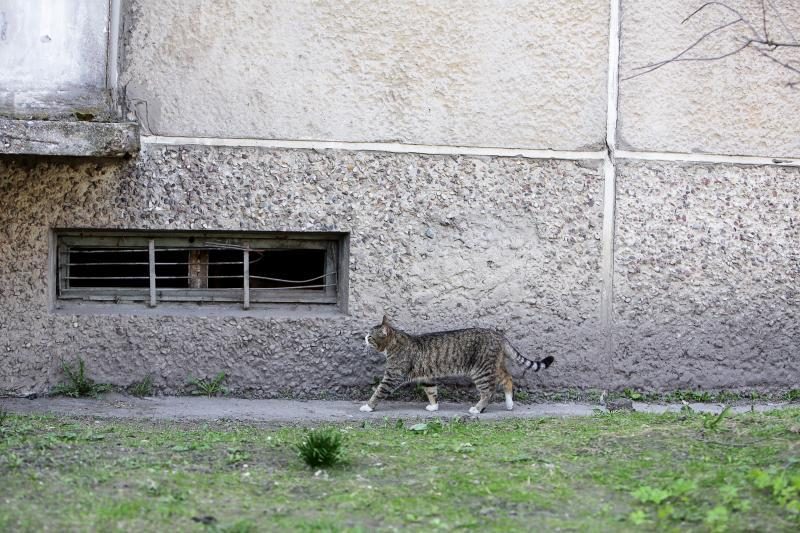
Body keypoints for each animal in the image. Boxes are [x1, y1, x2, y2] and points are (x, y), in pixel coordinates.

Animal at [360, 314, 552, 414]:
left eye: (370, 336)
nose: (363, 338)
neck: (396, 343)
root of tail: (498, 335)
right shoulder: (427, 376)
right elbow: (432, 391)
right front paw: (434, 406)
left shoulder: (393, 376)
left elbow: (379, 391)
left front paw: (368, 406)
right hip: (494, 366)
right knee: (508, 379)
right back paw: (509, 403)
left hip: (481, 370)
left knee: (488, 391)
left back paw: (478, 408)